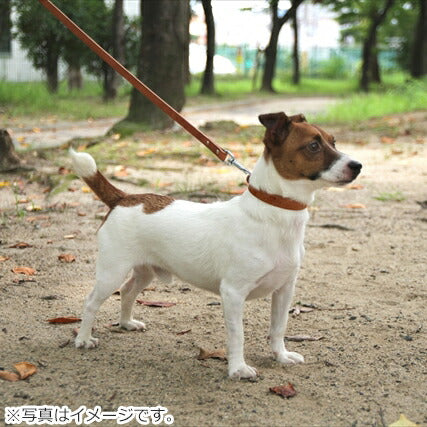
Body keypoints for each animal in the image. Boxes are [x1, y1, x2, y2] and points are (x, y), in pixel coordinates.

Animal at [69, 111, 362, 382]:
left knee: (128, 291)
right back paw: (83, 339)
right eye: (313, 146)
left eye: (333, 141)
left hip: (145, 271)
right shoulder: (233, 293)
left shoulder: (284, 289)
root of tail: (123, 198)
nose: (358, 165)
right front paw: (238, 369)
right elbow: (237, 335)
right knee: (91, 302)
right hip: (112, 272)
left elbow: (279, 327)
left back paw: (127, 323)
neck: (275, 212)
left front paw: (280, 356)